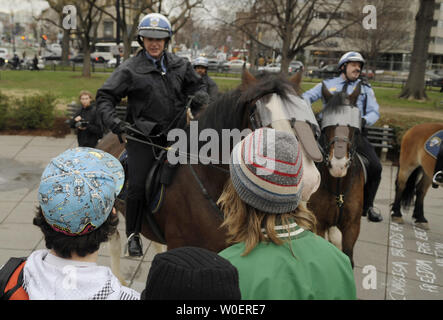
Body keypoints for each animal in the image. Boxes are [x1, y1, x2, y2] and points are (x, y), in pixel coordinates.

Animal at [308, 82, 364, 268]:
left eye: (355, 130)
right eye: (325, 128)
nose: (338, 165)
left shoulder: (352, 225)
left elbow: (348, 257)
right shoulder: (318, 223)